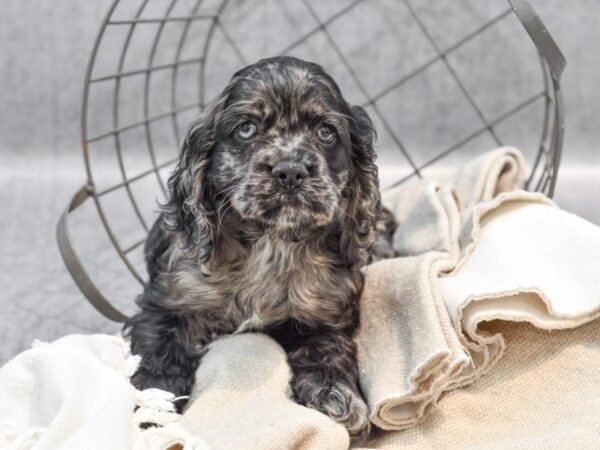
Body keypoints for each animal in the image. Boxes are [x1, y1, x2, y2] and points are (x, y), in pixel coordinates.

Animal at [123, 53, 394, 440]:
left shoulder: (326, 309)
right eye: (246, 128)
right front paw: (152, 411)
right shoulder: (167, 302)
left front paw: (335, 395)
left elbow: (328, 347)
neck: (271, 242)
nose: (290, 171)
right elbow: (160, 356)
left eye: (326, 132)